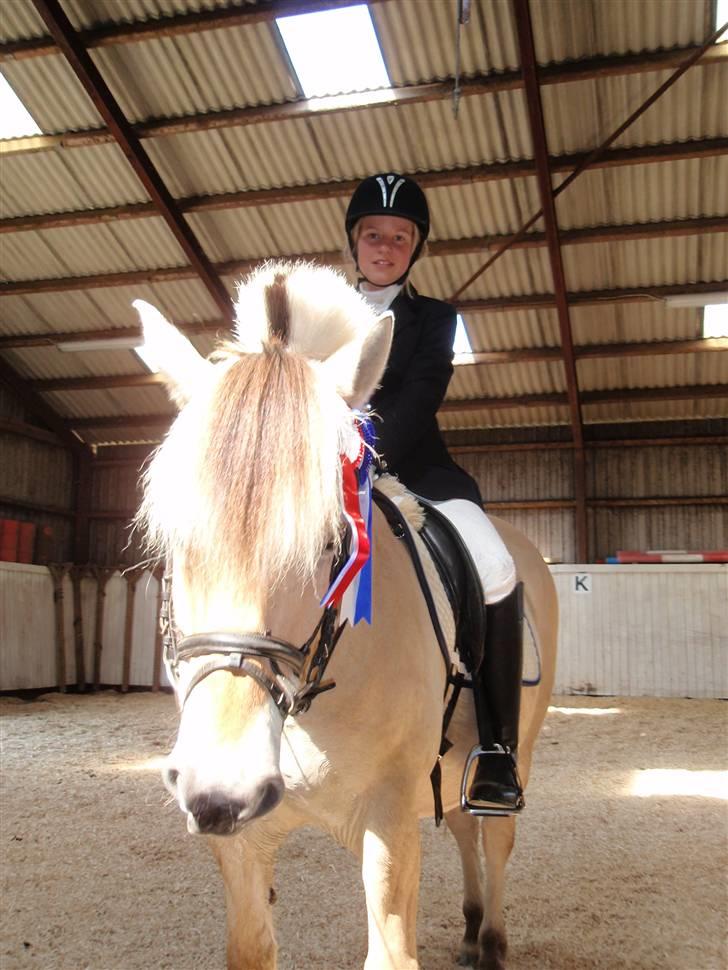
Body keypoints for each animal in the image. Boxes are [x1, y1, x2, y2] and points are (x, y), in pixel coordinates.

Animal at [136, 260, 556, 968]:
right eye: (171, 542)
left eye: (333, 541)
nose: (223, 787)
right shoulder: (241, 844)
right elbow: (250, 945)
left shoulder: (388, 823)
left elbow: (391, 950)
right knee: (463, 826)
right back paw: (472, 927)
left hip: (515, 743)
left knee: (494, 832)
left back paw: (493, 939)